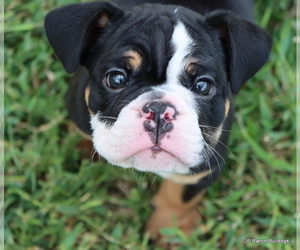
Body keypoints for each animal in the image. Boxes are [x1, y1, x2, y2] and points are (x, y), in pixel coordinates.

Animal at [44, 0, 272, 243]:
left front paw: (168, 229)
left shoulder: (204, 167)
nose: (160, 110)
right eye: (116, 79)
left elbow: (179, 198)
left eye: (203, 86)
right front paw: (86, 149)